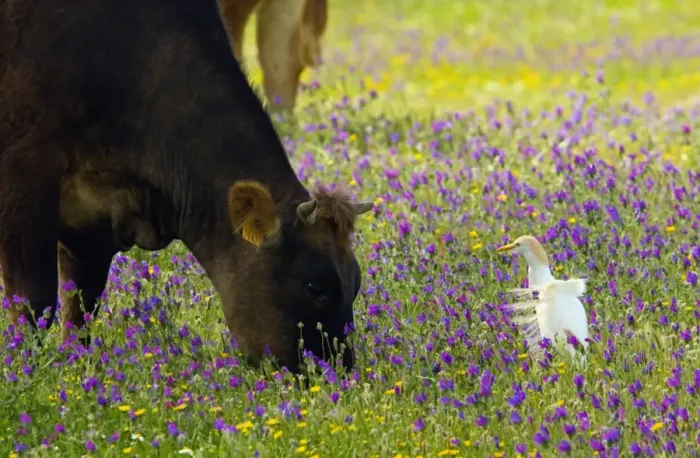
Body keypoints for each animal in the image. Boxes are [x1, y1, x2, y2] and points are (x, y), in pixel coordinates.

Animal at [0, 0, 373, 373]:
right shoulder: (23, 179)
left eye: (355, 282)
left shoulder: (93, 226)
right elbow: (32, 301)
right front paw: (26, 368)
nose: (340, 372)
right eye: (315, 286)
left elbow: (80, 308)